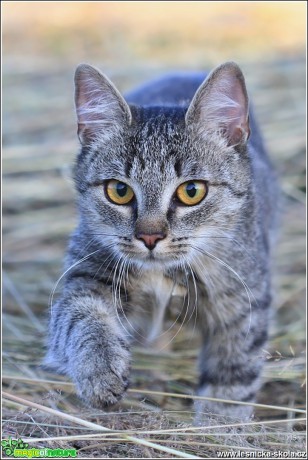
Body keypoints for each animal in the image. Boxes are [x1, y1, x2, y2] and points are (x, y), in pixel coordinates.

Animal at [44, 61, 278, 420]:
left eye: (192, 191)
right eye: (119, 190)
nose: (150, 236)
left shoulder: (244, 303)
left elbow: (233, 378)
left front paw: (219, 425)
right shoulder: (84, 270)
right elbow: (79, 316)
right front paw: (100, 369)